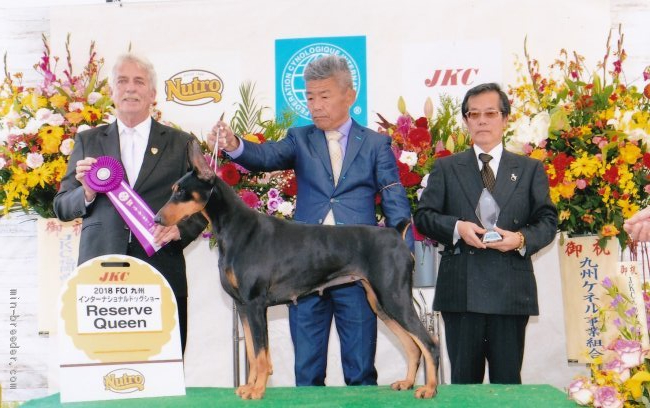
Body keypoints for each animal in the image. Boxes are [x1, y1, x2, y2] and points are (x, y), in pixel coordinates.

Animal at [154, 139, 438, 398]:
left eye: (180, 191)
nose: (156, 219)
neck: (235, 228)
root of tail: (396, 233)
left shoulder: (255, 304)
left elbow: (260, 353)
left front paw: (257, 391)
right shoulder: (244, 307)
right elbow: (253, 352)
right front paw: (249, 386)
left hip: (393, 296)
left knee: (429, 343)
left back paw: (429, 389)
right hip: (379, 302)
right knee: (413, 346)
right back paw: (407, 382)